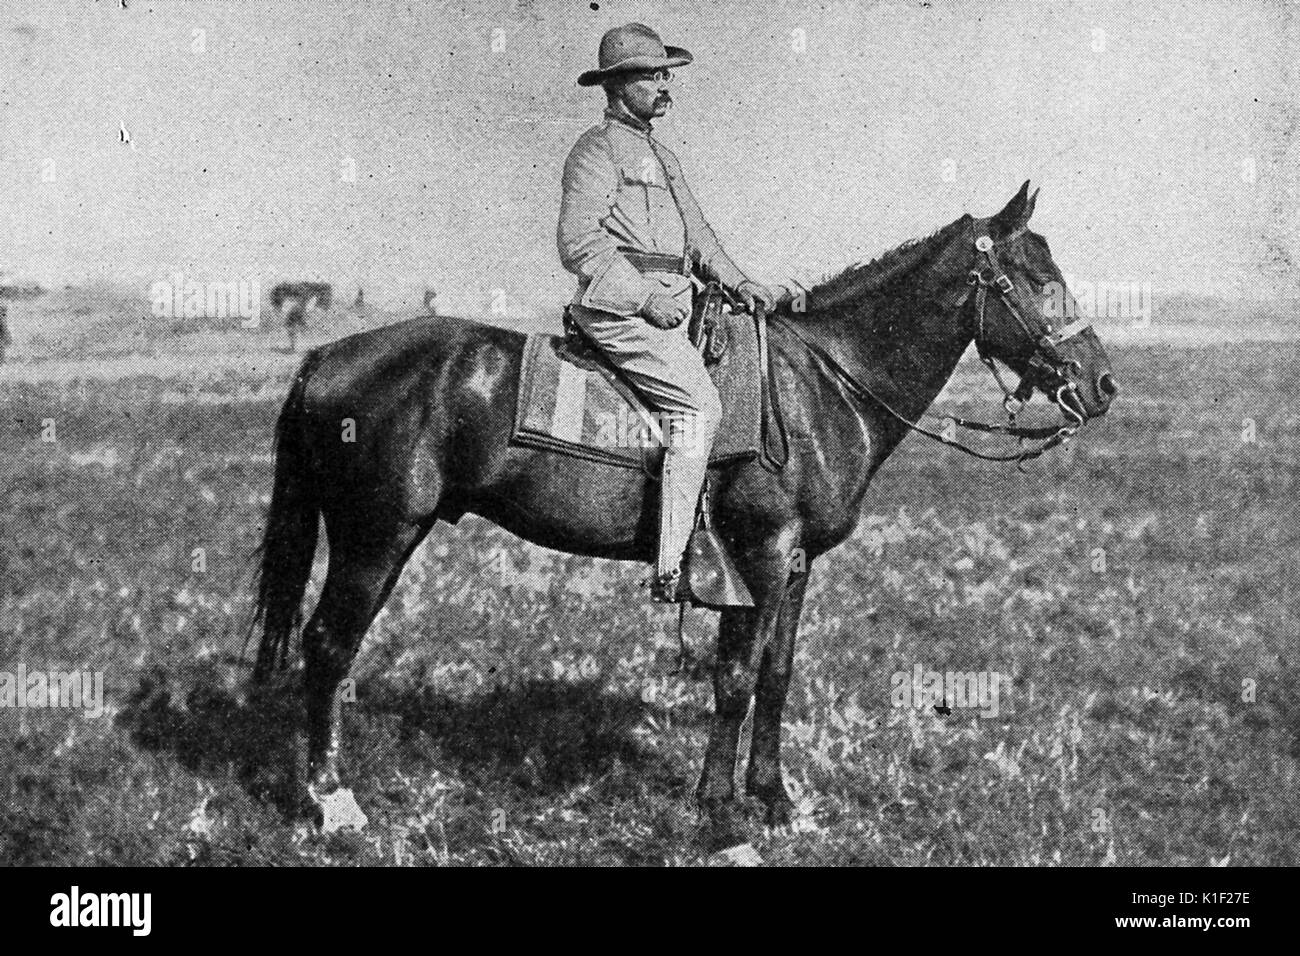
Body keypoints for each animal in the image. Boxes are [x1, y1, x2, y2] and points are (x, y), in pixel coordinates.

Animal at [251, 182, 1116, 845]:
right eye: (1036, 276)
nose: (1101, 383)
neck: (815, 387)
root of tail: (327, 357)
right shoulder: (756, 554)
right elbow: (733, 679)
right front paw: (721, 814)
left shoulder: (796, 565)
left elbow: (775, 676)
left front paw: (775, 800)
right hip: (375, 536)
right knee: (327, 646)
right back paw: (332, 800)